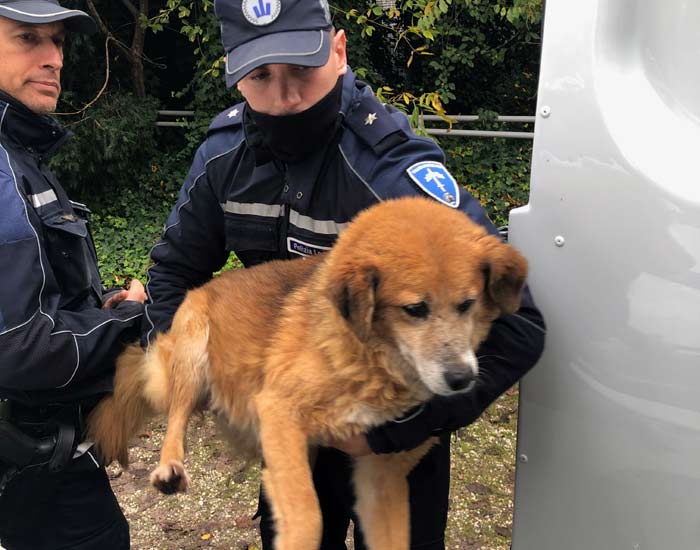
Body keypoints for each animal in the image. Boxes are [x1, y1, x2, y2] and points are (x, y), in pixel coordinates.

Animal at [86, 198, 524, 550]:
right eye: (415, 309)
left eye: (467, 304)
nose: (462, 379)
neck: (364, 354)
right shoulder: (278, 409)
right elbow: (307, 517)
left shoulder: (380, 477)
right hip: (194, 351)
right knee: (177, 416)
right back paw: (170, 467)